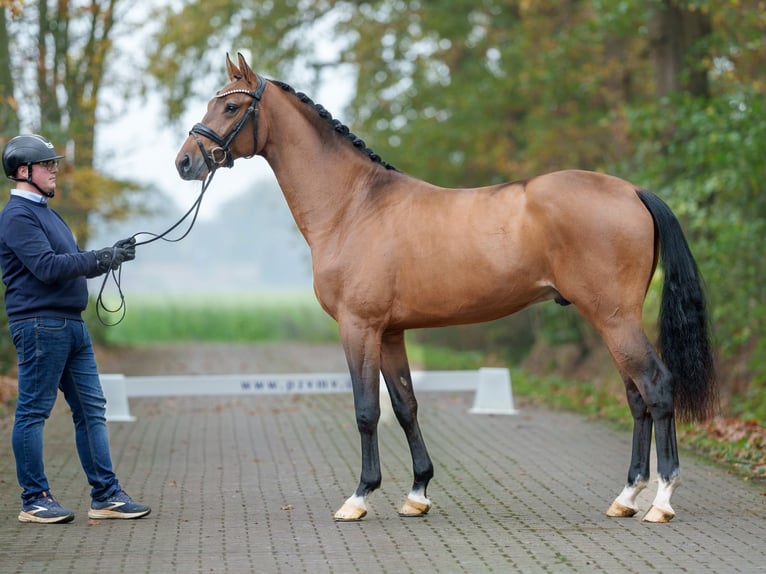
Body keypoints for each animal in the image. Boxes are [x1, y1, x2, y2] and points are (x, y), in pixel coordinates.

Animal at [177, 54, 716, 528]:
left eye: (231, 107)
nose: (185, 162)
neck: (353, 205)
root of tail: (632, 191)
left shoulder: (359, 327)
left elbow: (367, 410)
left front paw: (359, 497)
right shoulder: (391, 332)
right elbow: (405, 406)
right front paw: (417, 494)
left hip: (614, 318)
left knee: (656, 386)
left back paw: (661, 502)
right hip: (611, 320)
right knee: (636, 397)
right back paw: (626, 497)